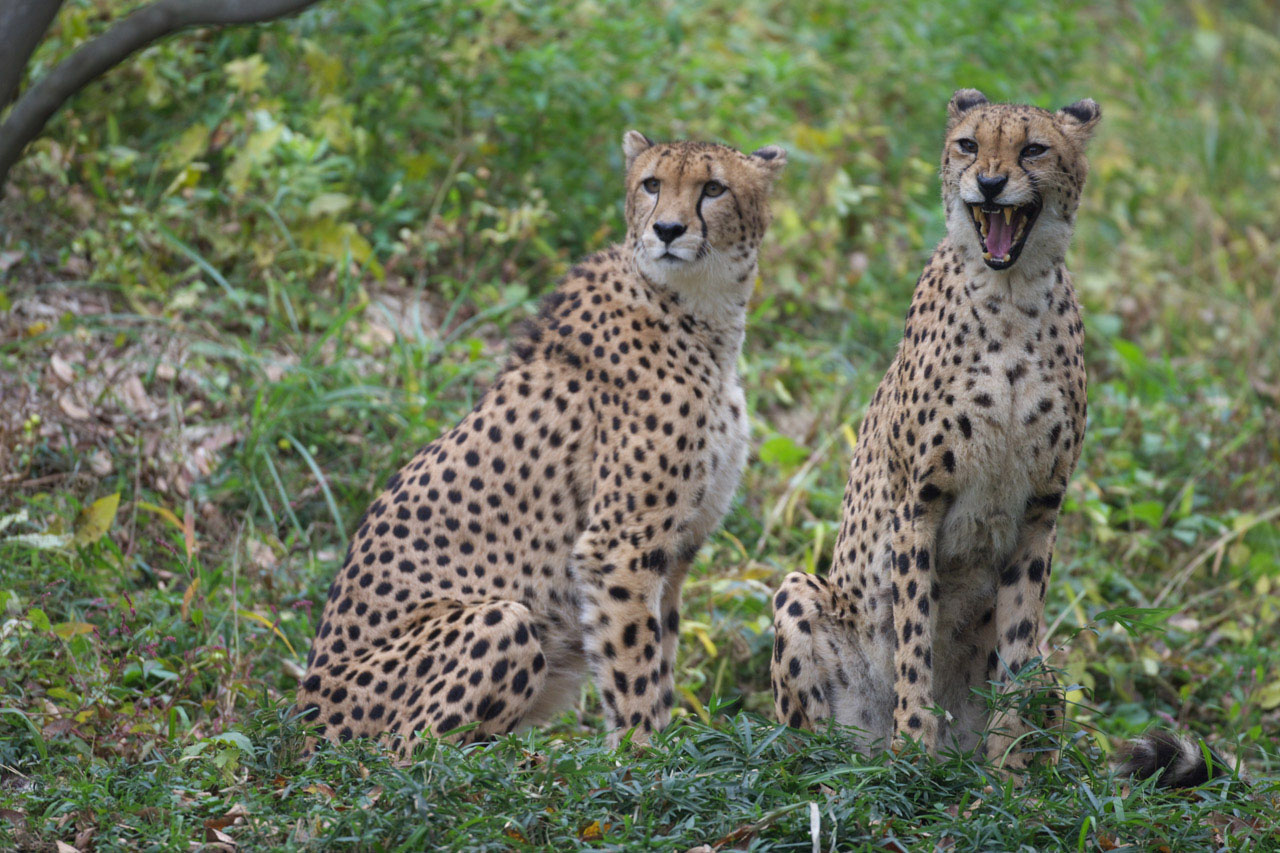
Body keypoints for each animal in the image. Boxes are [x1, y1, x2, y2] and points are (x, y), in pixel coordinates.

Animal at [299, 129, 783, 747]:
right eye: (652, 184)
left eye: (714, 189)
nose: (668, 230)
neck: (702, 313)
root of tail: (301, 717)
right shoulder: (617, 546)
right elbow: (633, 665)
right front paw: (640, 750)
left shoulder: (676, 550)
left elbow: (661, 654)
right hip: (499, 619)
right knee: (406, 748)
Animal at [768, 89, 1100, 768]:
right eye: (969, 145)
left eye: (1034, 149)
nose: (991, 183)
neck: (1010, 295)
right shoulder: (917, 503)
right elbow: (915, 632)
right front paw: (915, 747)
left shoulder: (1041, 510)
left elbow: (1018, 646)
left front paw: (1009, 765)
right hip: (801, 597)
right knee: (812, 747)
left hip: (1054, 670)